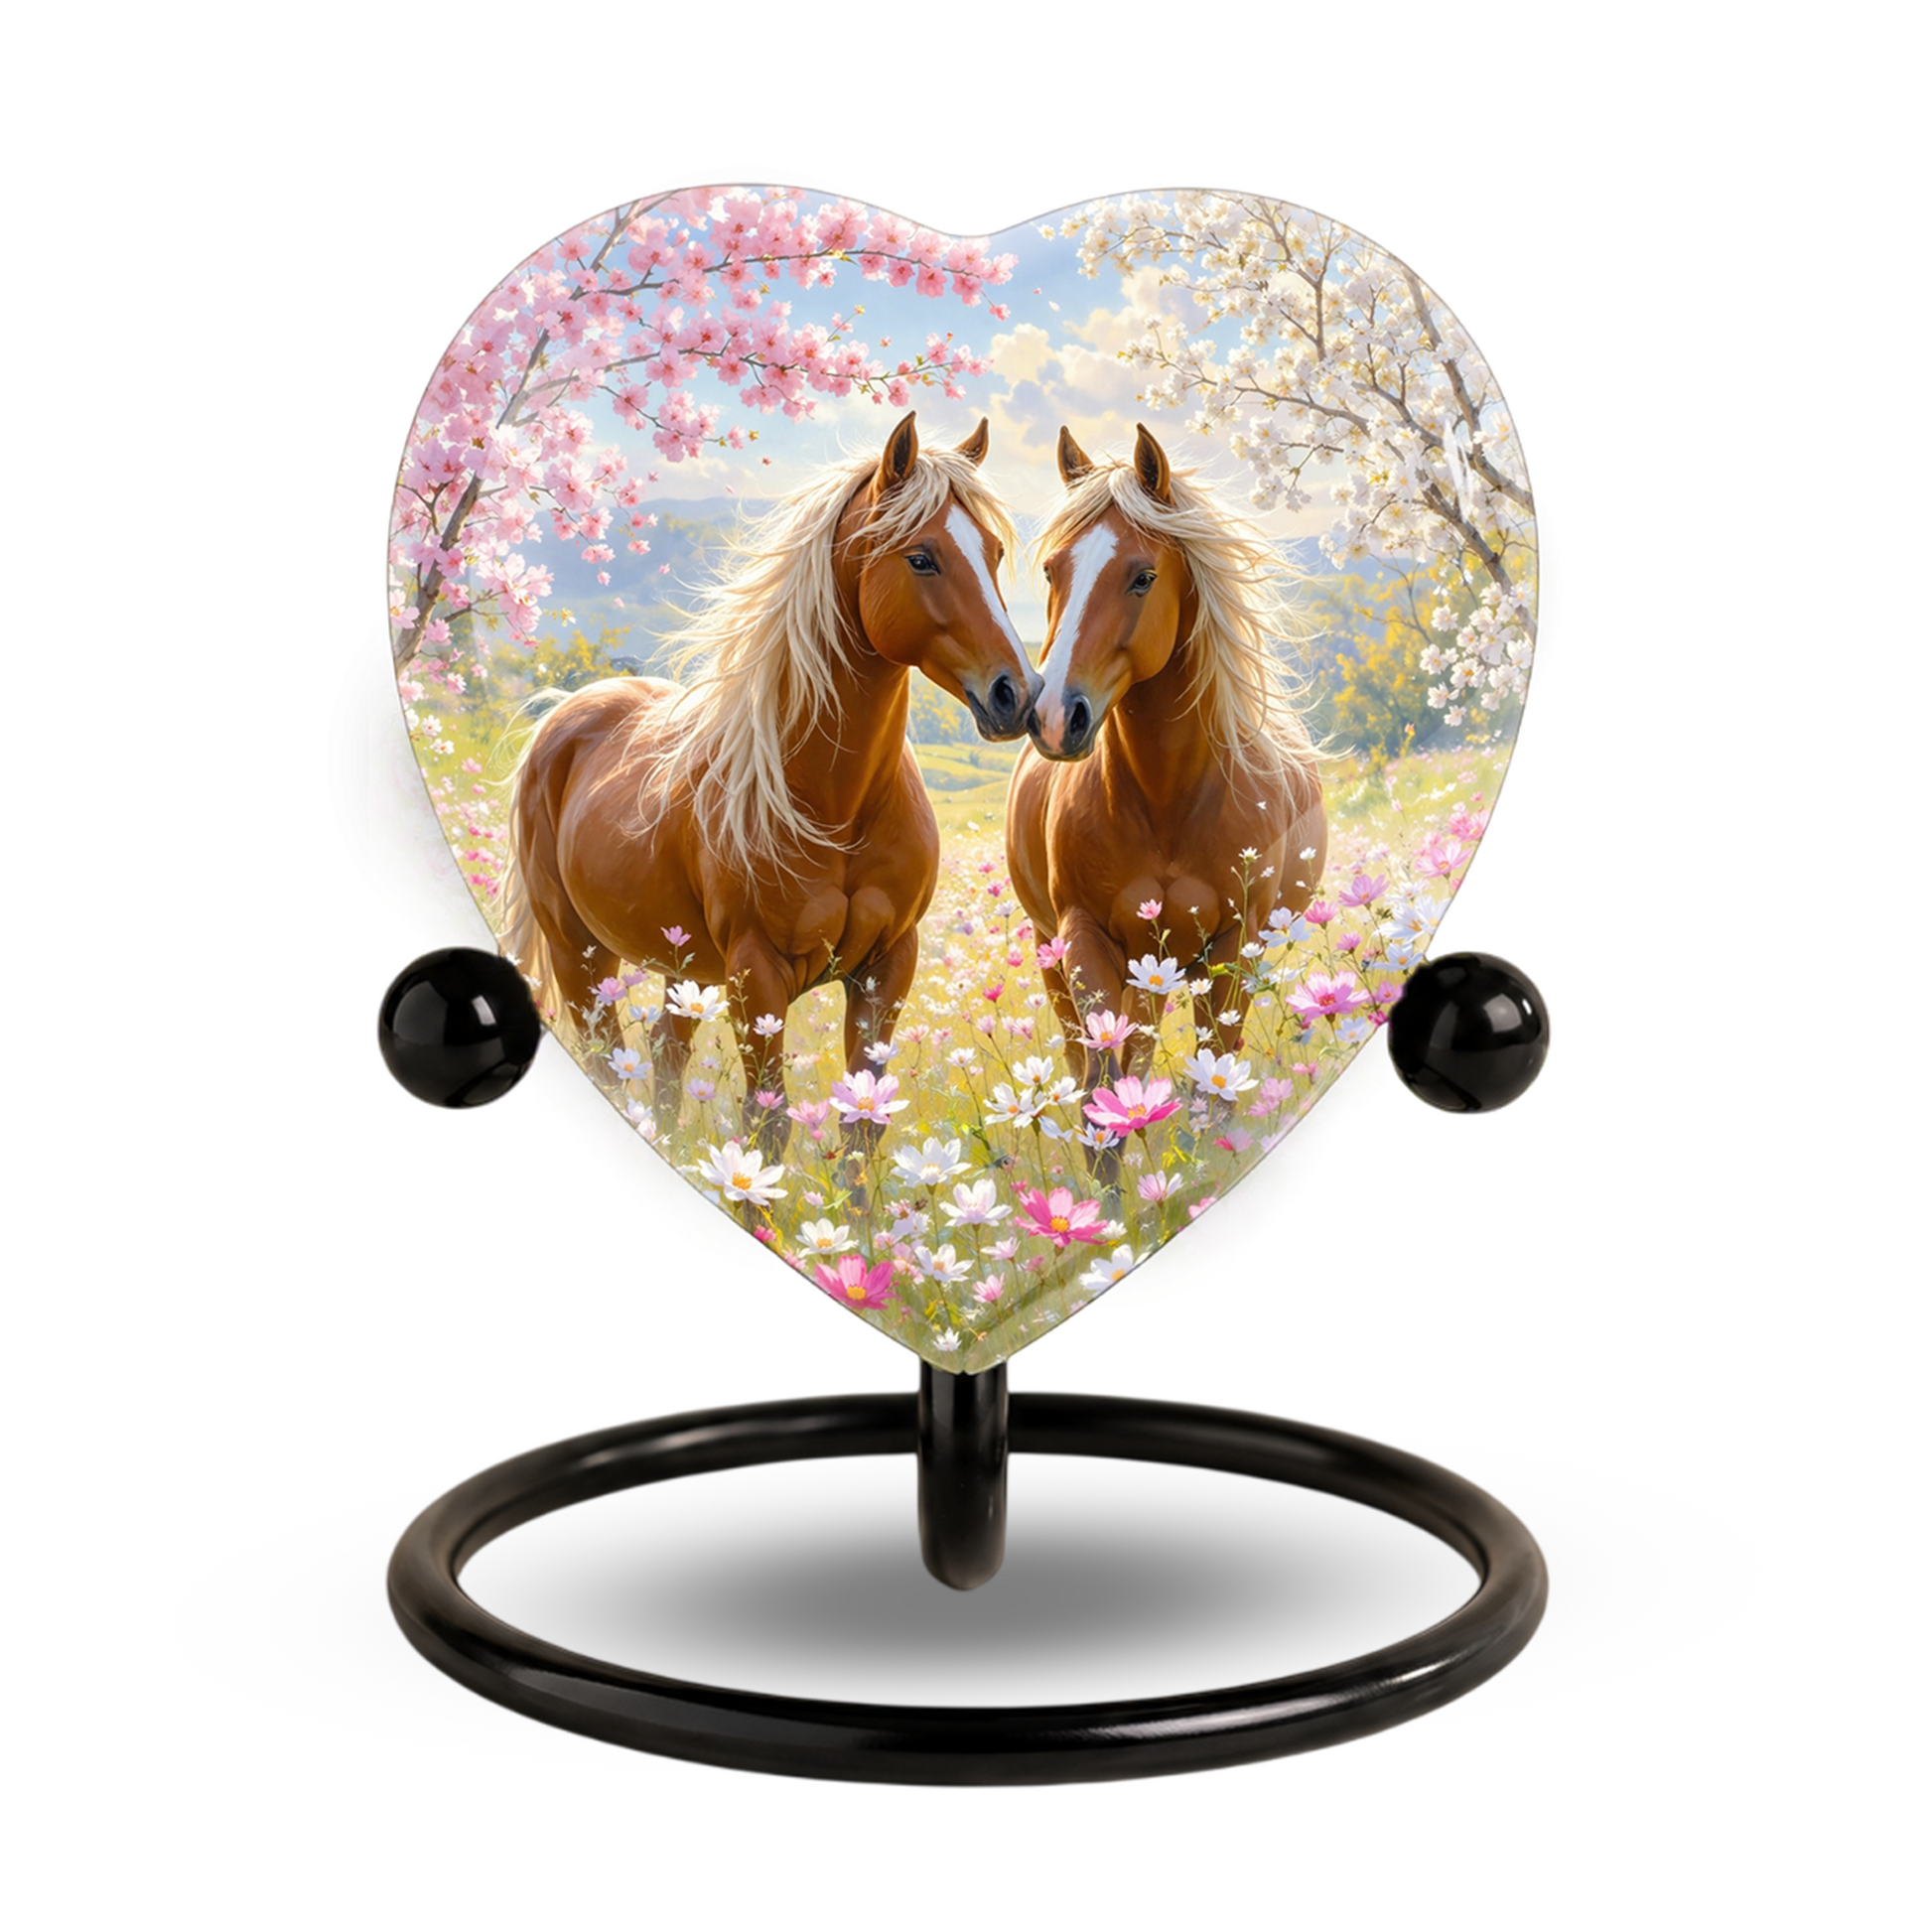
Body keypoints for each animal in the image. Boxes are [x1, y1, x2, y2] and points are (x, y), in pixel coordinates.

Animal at [501, 412, 1041, 1154]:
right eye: (922, 557)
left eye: (991, 551)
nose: (1017, 694)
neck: (836, 805)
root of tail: (564, 715)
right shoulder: (755, 975)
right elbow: (769, 1123)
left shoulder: (888, 967)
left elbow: (860, 1129)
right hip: (579, 955)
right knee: (610, 1064)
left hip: (682, 971)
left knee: (668, 1059)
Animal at [1005, 423, 1327, 1174]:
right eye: (1052, 571)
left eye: (1142, 576)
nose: (1054, 717)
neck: (1168, 799)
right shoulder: (1085, 941)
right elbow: (1100, 1098)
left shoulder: (1234, 946)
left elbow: (1215, 1090)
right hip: (1067, 955)